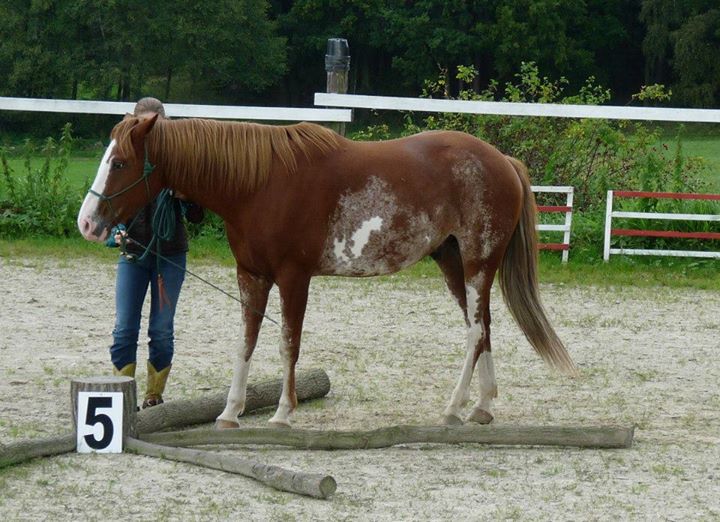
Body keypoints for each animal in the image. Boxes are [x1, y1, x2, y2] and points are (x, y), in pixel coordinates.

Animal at [76, 115, 576, 426]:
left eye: (119, 162)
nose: (87, 222)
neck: (259, 184)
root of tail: (502, 161)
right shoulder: (251, 276)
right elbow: (245, 343)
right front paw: (230, 412)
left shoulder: (293, 278)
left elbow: (287, 344)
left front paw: (283, 412)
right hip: (457, 265)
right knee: (484, 327)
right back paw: (482, 407)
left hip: (476, 264)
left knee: (474, 333)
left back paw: (454, 407)